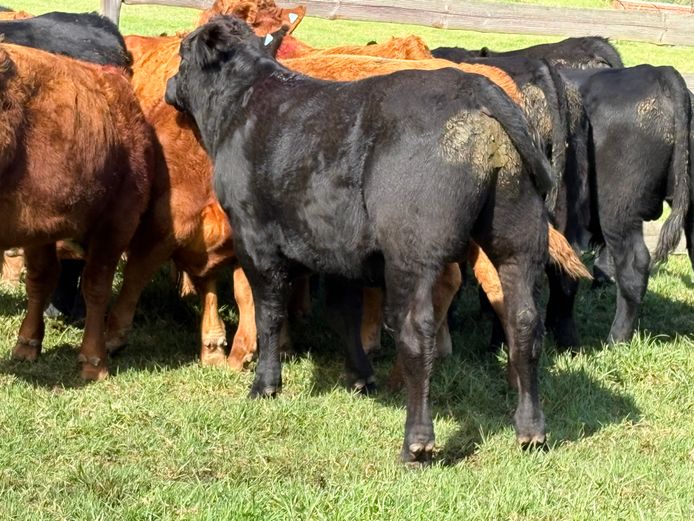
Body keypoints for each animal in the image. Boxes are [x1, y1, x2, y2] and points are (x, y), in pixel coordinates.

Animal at [0, 43, 156, 380]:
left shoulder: (117, 222)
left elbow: (95, 286)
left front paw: (94, 361)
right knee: (42, 277)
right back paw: (27, 344)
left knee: (80, 283)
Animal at [166, 16, 555, 463]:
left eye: (183, 52)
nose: (169, 84)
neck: (244, 104)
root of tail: (472, 88)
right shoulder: (335, 246)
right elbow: (343, 311)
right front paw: (358, 377)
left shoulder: (254, 236)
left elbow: (268, 313)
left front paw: (265, 385)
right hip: (519, 240)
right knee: (524, 320)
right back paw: (531, 431)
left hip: (411, 255)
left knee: (415, 330)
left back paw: (416, 443)